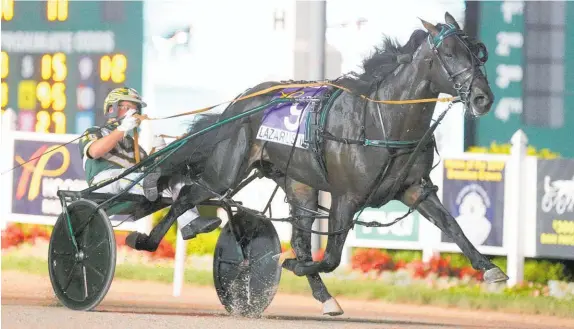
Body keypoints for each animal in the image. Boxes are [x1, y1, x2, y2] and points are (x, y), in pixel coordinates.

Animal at [129, 12, 508, 314]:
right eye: (449, 53)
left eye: (478, 52)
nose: (483, 98)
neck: (383, 122)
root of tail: (240, 101)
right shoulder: (346, 197)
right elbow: (331, 257)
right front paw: (289, 265)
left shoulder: (415, 190)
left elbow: (452, 226)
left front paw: (490, 268)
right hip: (225, 173)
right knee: (185, 197)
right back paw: (147, 240)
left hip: (299, 183)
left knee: (298, 237)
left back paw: (325, 298)